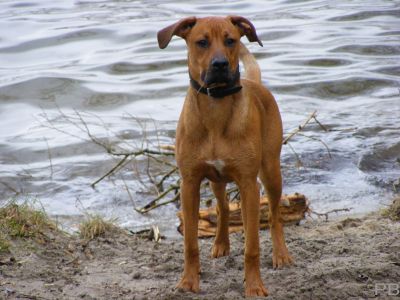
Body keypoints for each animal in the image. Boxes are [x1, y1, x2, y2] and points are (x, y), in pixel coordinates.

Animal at [158, 15, 292, 296]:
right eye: (201, 42)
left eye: (231, 40)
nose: (219, 64)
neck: (215, 107)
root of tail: (257, 84)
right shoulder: (189, 183)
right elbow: (190, 244)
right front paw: (188, 282)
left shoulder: (249, 185)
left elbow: (252, 247)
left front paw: (254, 286)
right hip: (215, 180)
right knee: (221, 207)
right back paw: (221, 243)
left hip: (270, 170)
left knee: (275, 216)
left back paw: (281, 254)